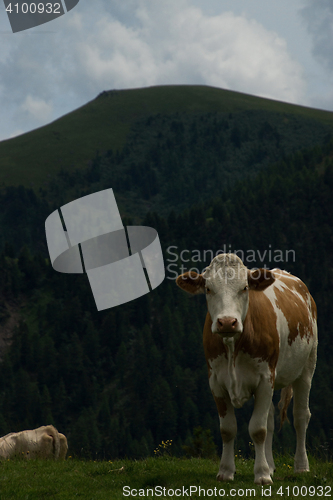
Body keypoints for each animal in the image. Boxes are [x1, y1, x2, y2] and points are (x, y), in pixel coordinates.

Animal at [175, 254, 316, 484]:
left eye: (244, 287)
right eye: (208, 289)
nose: (226, 322)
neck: (233, 346)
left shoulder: (265, 379)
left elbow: (258, 429)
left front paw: (261, 475)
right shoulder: (216, 381)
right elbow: (228, 429)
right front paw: (226, 471)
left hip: (307, 366)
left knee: (301, 416)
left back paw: (301, 466)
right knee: (270, 419)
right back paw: (271, 465)